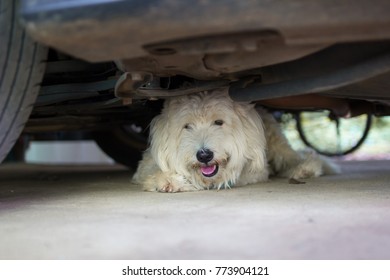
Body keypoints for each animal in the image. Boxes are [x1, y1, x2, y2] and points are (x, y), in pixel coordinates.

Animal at [132, 88, 338, 191]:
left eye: (218, 122)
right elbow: (152, 172)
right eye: (187, 126)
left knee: (296, 156)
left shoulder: (257, 169)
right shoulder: (147, 163)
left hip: (275, 142)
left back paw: (304, 168)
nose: (204, 155)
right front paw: (170, 180)